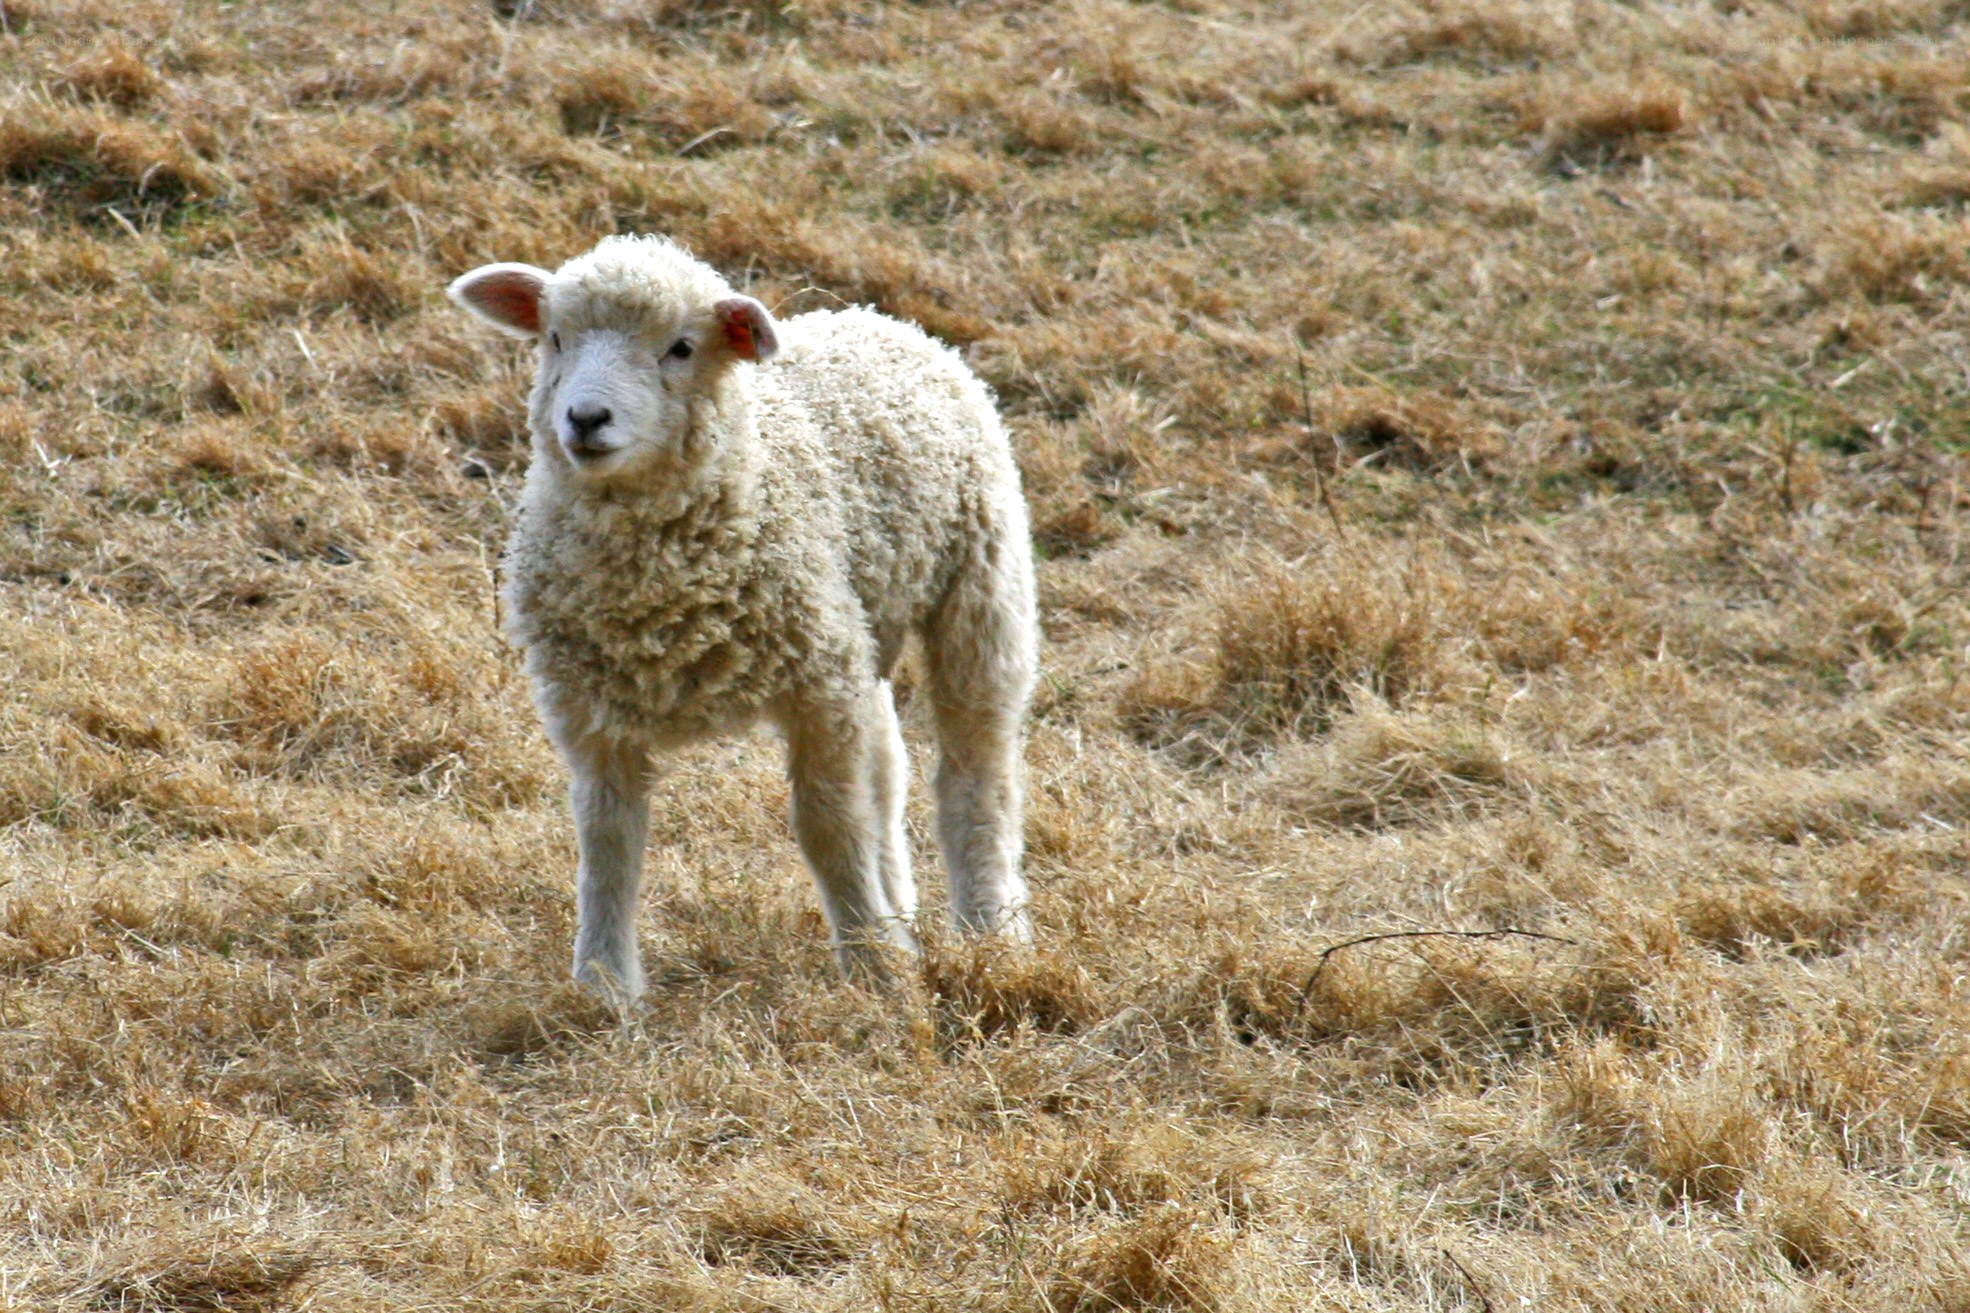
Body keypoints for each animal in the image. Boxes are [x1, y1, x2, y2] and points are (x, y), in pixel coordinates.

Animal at [447, 234, 1038, 1006]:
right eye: (554, 338)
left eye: (680, 347)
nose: (585, 419)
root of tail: (879, 320)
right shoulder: (590, 708)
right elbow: (608, 840)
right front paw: (605, 983)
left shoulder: (815, 686)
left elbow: (827, 824)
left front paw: (874, 966)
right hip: (856, 627)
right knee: (886, 764)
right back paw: (902, 908)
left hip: (980, 585)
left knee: (976, 769)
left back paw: (989, 927)